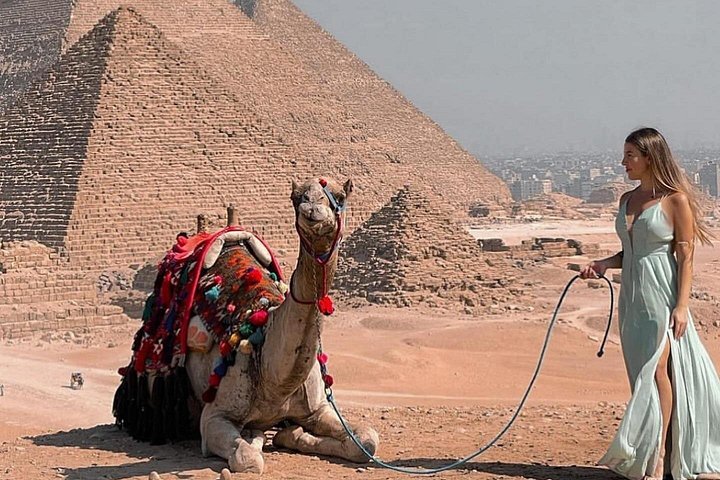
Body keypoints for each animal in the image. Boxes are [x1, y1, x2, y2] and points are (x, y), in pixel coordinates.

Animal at [113, 177, 379, 474]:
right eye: (296, 197)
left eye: (339, 196)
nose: (312, 209)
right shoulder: (214, 416)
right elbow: (248, 458)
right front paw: (259, 435)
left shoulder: (318, 409)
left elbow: (367, 441)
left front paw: (293, 434)